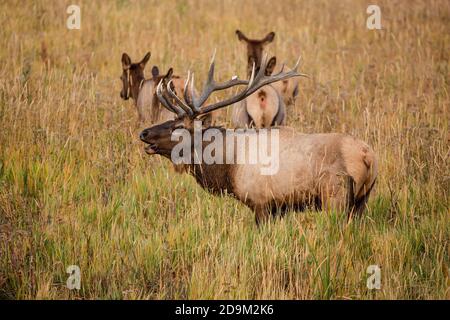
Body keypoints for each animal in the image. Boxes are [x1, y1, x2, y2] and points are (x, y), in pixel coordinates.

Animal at [139, 54, 378, 225]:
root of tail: (367, 157)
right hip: (362, 201)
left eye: (178, 127)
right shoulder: (280, 209)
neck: (229, 167)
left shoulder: (261, 203)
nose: (144, 133)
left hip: (335, 196)